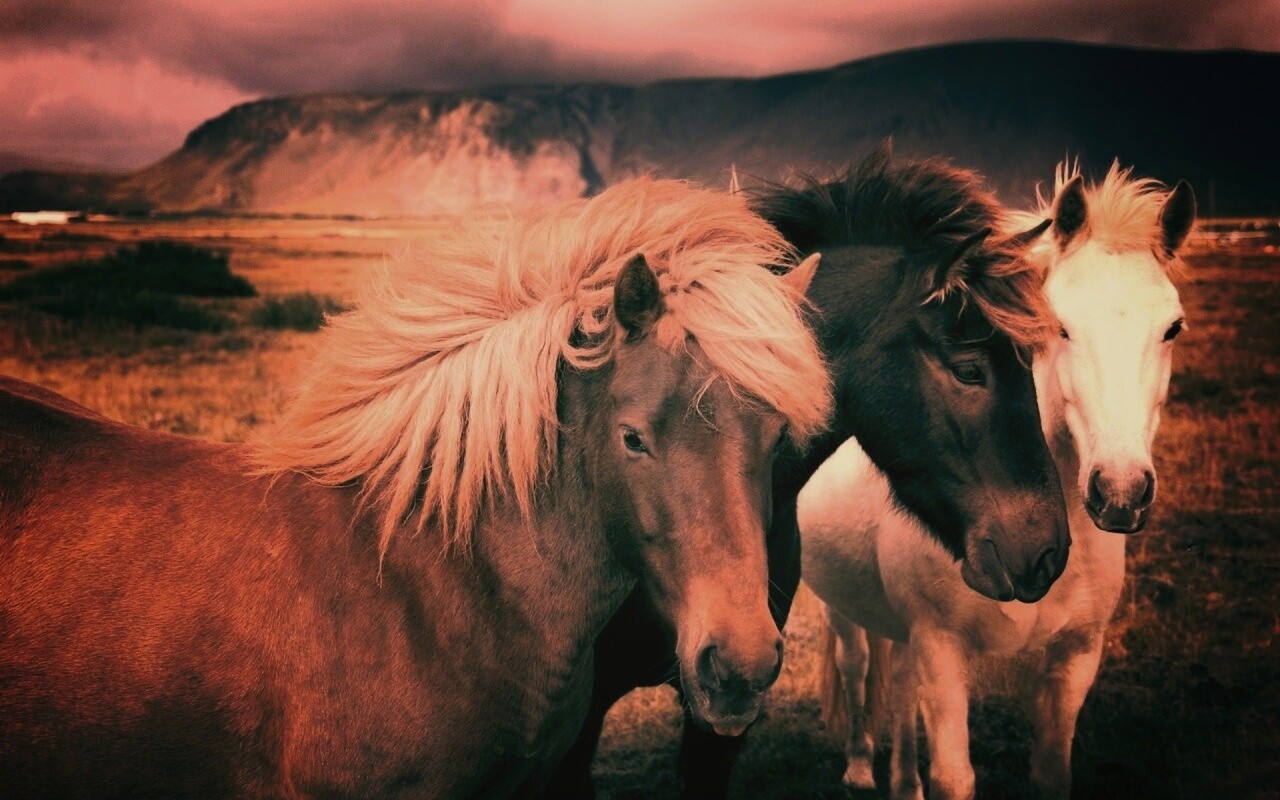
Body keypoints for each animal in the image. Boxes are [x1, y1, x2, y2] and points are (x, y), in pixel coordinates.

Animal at [802, 162, 1195, 800]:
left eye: (1173, 328)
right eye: (1060, 327)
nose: (1120, 491)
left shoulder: (1076, 657)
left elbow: (1051, 769)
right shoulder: (942, 650)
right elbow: (953, 776)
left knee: (901, 685)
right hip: (841, 607)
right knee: (857, 664)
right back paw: (860, 767)